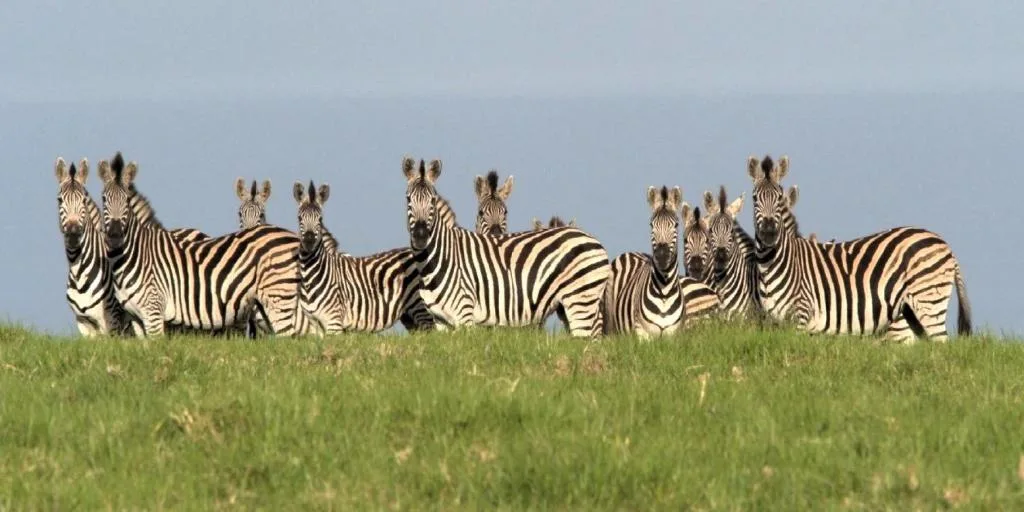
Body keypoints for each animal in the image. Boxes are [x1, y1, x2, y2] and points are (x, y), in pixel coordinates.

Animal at [99, 152, 304, 337]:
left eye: (126, 200)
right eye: (103, 199)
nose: (115, 236)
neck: (134, 253)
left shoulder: (154, 311)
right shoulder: (137, 317)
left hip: (278, 299)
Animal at [293, 180, 433, 334]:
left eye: (320, 219)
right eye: (299, 218)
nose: (309, 241)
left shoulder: (334, 322)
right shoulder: (315, 325)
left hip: (422, 309)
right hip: (409, 315)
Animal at [403, 156, 610, 337]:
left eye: (432, 200)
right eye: (408, 199)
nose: (420, 236)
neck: (436, 260)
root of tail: (594, 240)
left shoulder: (465, 316)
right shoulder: (441, 321)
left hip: (581, 301)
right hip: (566, 307)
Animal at [602, 186, 687, 338]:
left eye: (676, 225)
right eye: (651, 224)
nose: (662, 256)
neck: (664, 291)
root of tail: (632, 252)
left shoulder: (674, 335)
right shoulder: (642, 333)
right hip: (612, 326)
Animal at [749, 154, 972, 342]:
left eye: (779, 197)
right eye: (754, 198)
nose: (768, 233)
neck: (773, 262)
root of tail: (943, 243)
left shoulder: (802, 315)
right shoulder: (776, 322)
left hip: (928, 302)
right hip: (910, 315)